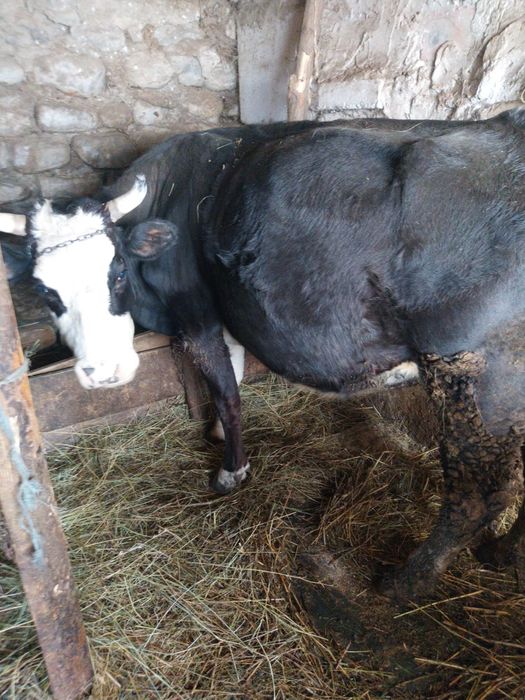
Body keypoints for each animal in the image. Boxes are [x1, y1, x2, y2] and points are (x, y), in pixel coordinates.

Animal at [3, 110, 525, 600]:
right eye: (45, 291)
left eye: (117, 272)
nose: (105, 372)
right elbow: (231, 375)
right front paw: (216, 434)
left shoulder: (195, 313)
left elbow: (227, 392)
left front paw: (231, 470)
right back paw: (501, 553)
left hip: (474, 377)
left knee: (480, 493)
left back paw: (403, 582)